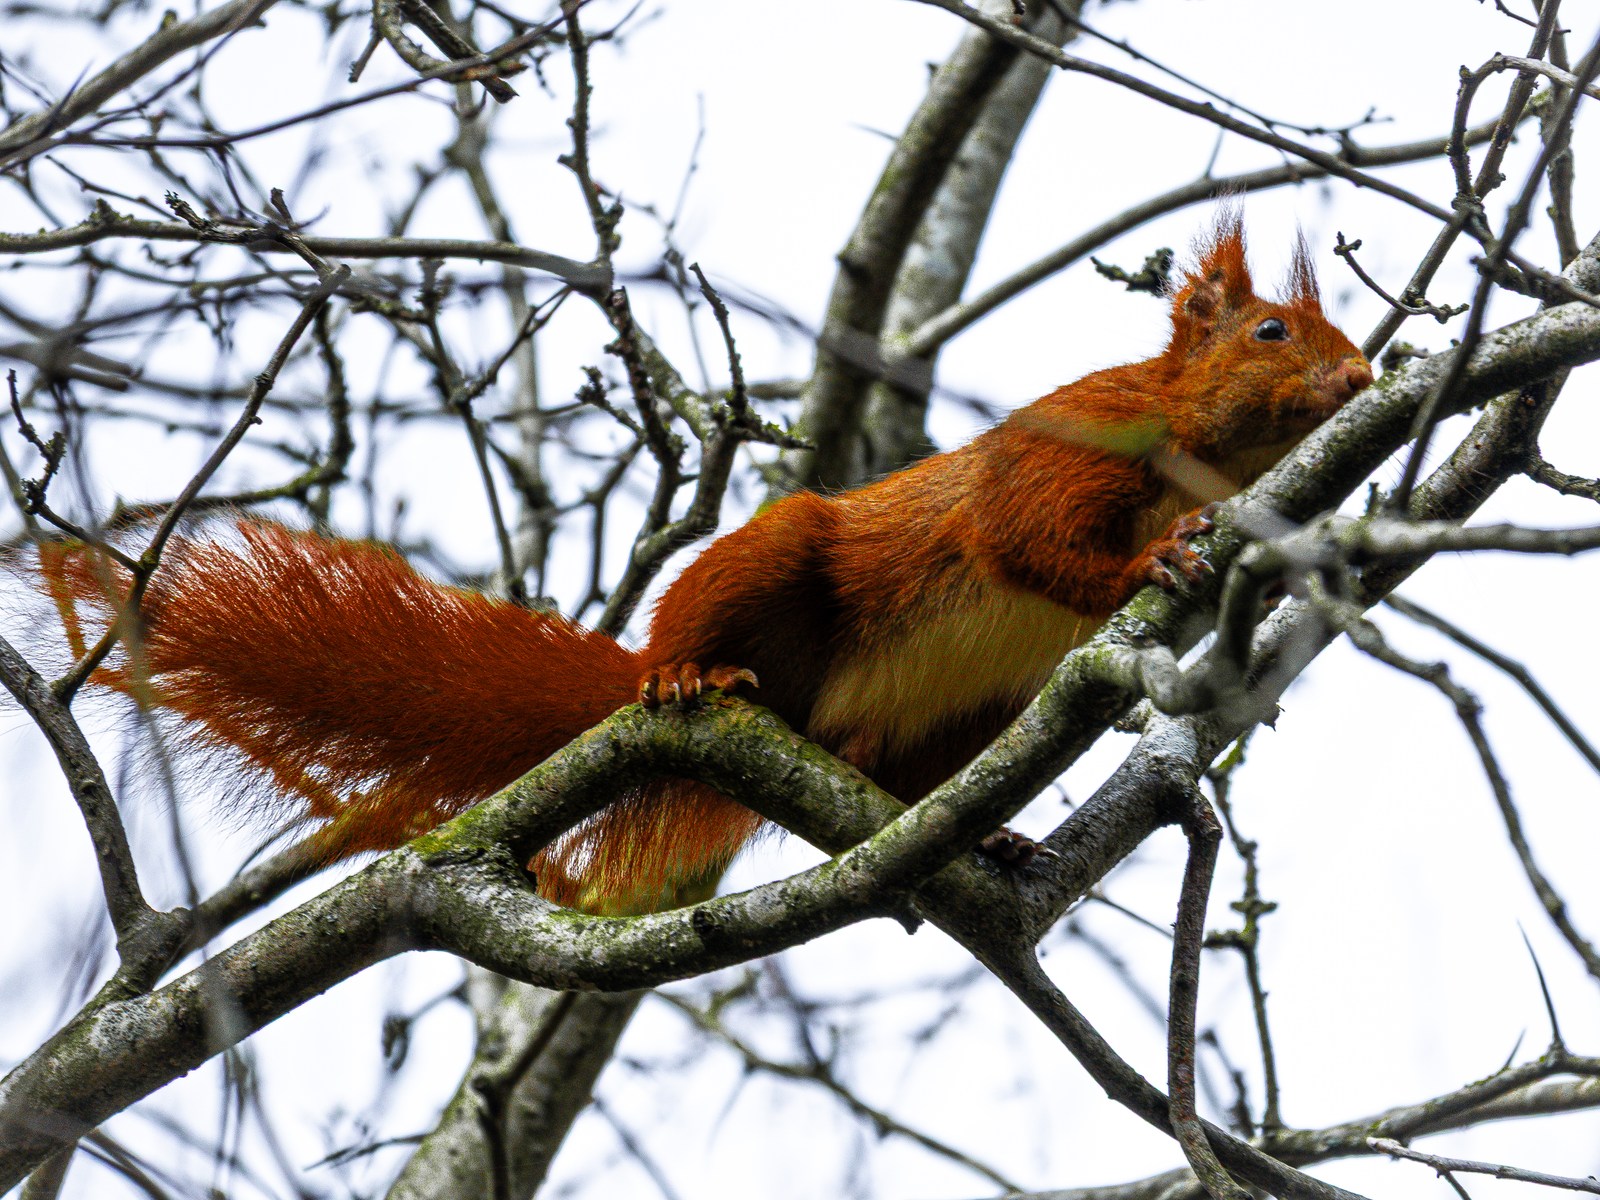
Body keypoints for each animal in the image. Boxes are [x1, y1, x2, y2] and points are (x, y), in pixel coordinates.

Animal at [40, 215, 1372, 914]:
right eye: (1271, 331)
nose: (1360, 376)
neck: (1191, 448)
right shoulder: (1072, 445)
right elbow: (1027, 543)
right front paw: (1159, 554)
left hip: (957, 722)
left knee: (879, 772)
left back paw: (977, 839)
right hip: (770, 569)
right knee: (709, 644)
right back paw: (684, 678)